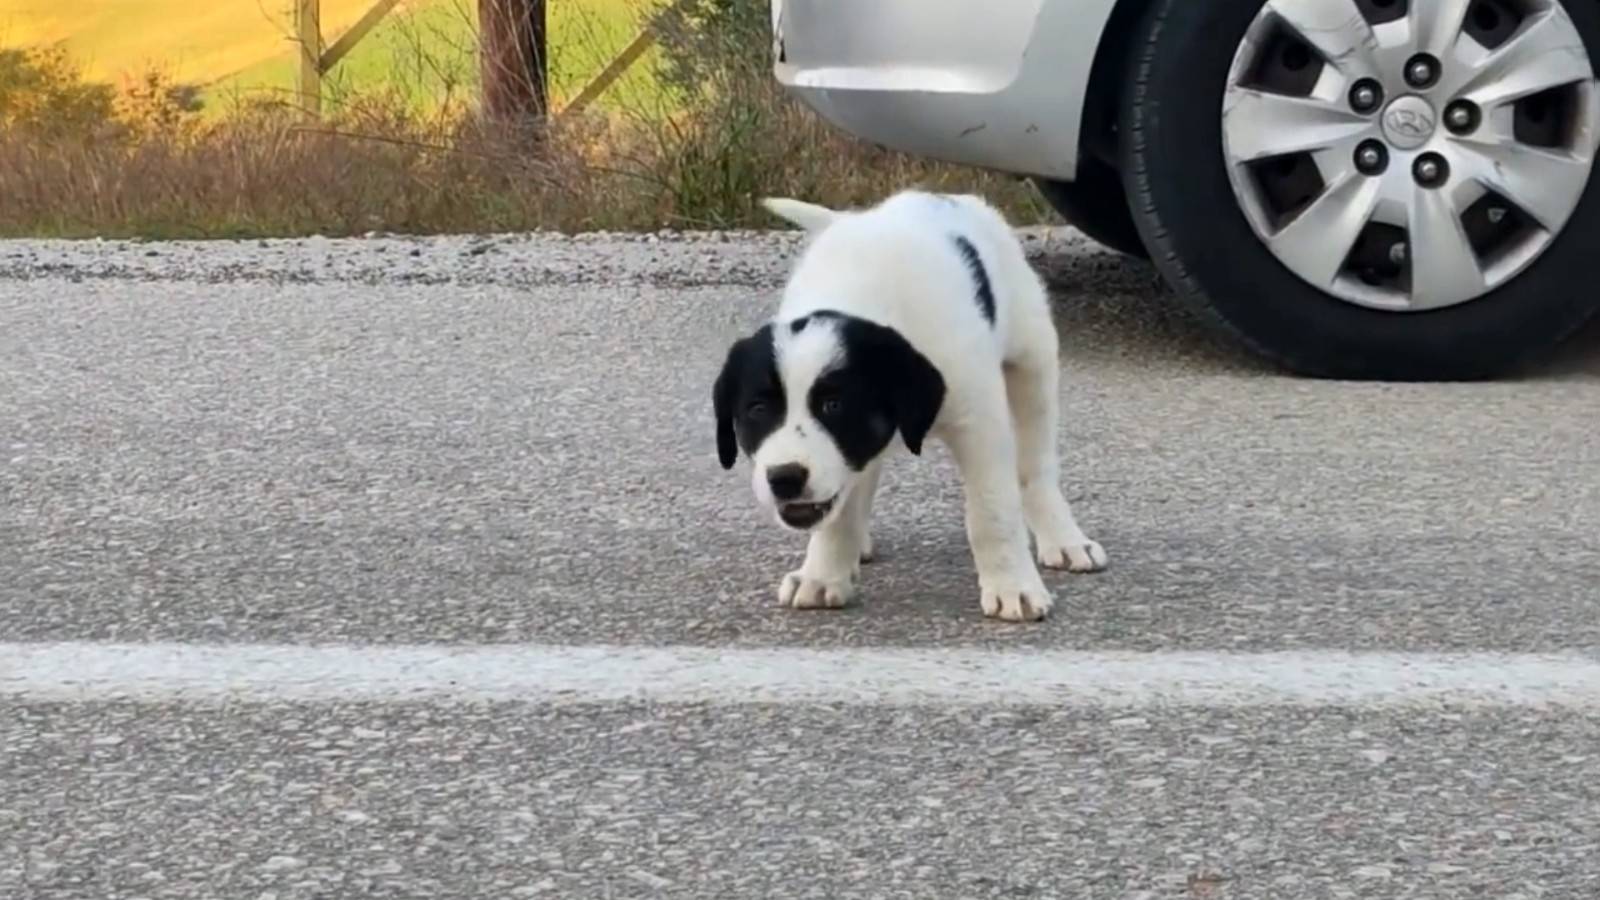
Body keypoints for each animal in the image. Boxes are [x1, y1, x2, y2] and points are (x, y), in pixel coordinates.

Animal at [720, 188, 1107, 621]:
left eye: (835, 406)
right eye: (757, 410)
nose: (784, 477)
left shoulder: (980, 426)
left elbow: (992, 511)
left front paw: (1013, 586)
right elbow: (839, 512)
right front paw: (822, 574)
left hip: (1032, 360)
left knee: (1034, 468)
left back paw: (1064, 538)